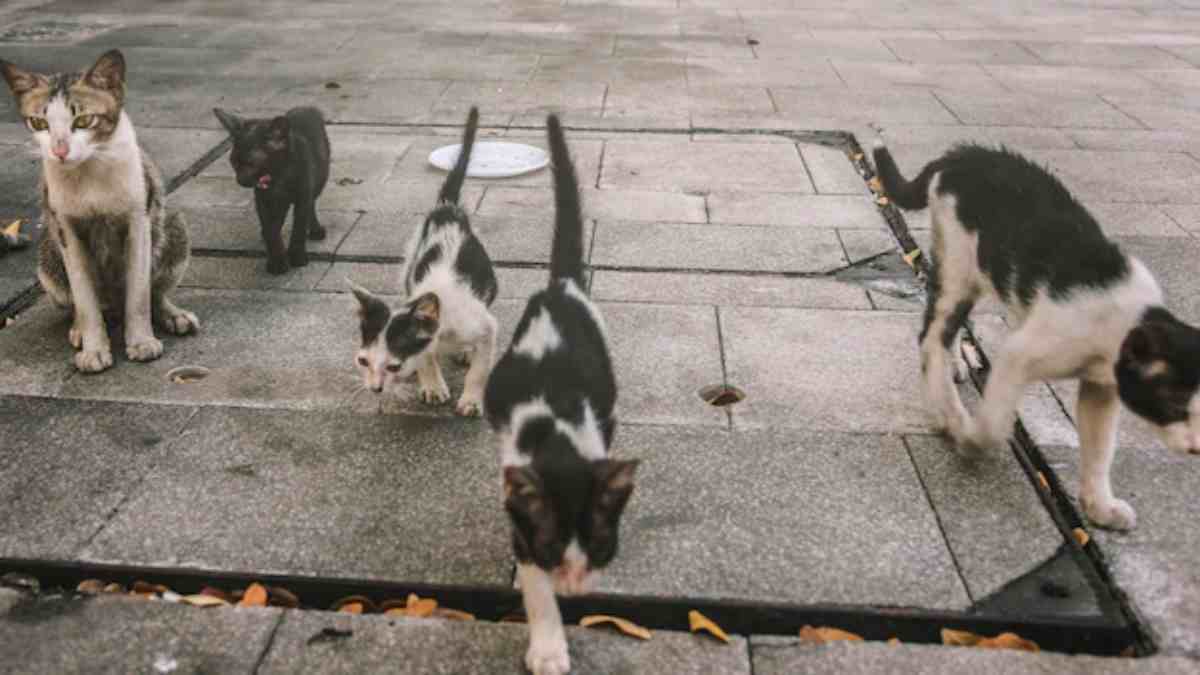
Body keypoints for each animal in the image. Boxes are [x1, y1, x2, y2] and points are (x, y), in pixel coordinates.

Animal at [1, 49, 196, 369]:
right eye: (39, 124)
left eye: (84, 120)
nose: (59, 151)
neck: (89, 170)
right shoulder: (65, 228)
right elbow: (83, 295)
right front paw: (94, 348)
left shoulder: (138, 219)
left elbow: (139, 293)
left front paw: (142, 341)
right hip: (48, 255)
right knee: (79, 299)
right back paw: (80, 328)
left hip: (172, 223)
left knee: (155, 288)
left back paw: (172, 314)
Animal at [208, 105, 326, 273]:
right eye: (234, 162)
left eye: (251, 164)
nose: (239, 180)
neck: (279, 176)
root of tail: (305, 107)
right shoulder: (262, 199)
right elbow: (271, 228)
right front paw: (277, 262)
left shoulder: (303, 194)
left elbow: (299, 225)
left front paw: (297, 257)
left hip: (319, 180)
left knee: (311, 206)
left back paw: (316, 230)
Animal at [350, 105, 499, 415]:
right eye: (363, 361)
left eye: (393, 366)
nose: (374, 389)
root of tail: (447, 209)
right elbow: (426, 356)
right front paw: (432, 385)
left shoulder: (486, 326)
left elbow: (481, 367)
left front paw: (471, 399)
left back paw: (466, 352)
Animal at [484, 115, 643, 672]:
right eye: (553, 550)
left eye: (599, 546)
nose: (574, 588)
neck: (556, 436)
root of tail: (562, 287)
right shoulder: (521, 516)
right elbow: (533, 583)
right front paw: (549, 646)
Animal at [873, 140, 1200, 530]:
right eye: (1175, 403)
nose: (1197, 448)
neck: (1125, 321)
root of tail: (962, 153)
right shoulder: (1019, 353)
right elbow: (995, 421)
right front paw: (971, 439)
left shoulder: (1101, 389)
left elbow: (1099, 448)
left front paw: (1099, 506)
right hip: (959, 267)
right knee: (931, 336)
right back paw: (947, 411)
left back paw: (952, 374)